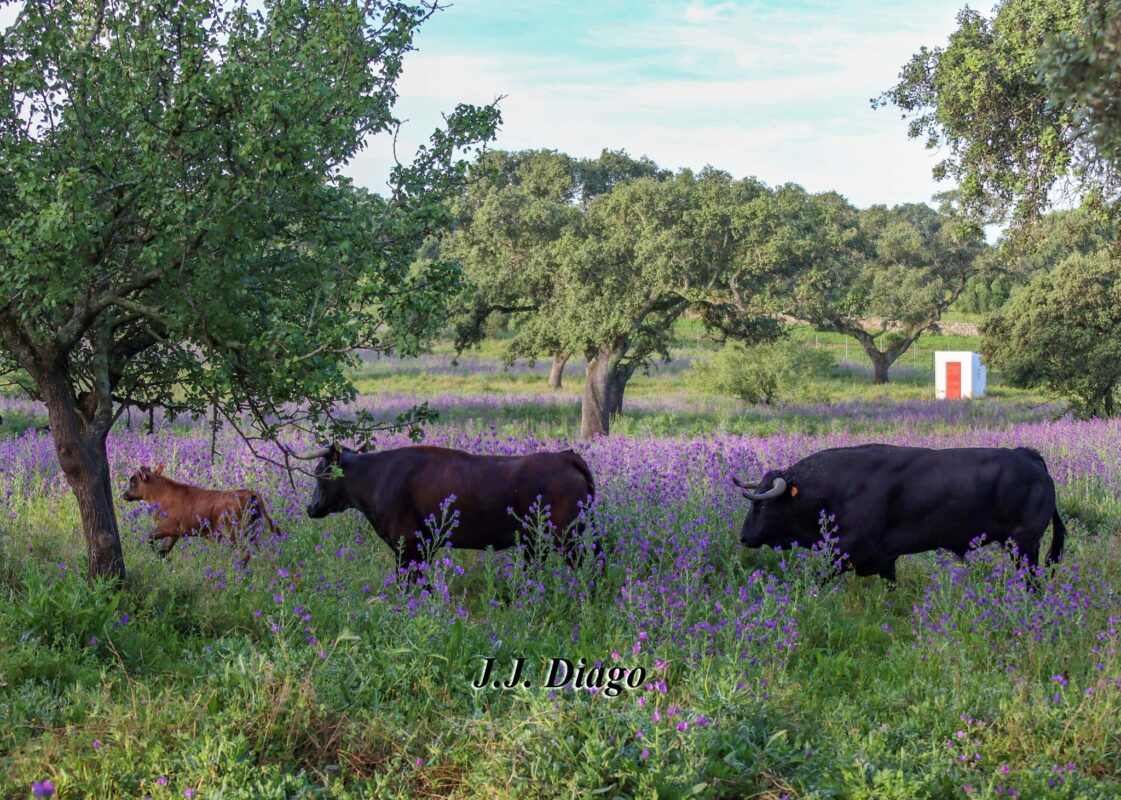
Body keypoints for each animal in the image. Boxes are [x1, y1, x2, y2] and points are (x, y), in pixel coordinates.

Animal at [121, 463, 280, 557]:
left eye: (133, 481)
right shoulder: (175, 533)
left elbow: (149, 538)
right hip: (252, 532)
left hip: (232, 533)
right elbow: (163, 551)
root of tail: (248, 493)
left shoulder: (166, 527)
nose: (124, 494)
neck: (160, 494)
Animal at [293, 441, 600, 566]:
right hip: (538, 543)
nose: (310, 508)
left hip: (566, 538)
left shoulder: (407, 545)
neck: (378, 475)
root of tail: (565, 456)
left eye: (320, 472)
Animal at [735, 441, 1067, 578]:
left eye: (761, 505)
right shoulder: (885, 561)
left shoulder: (844, 555)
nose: (743, 537)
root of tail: (1030, 457)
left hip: (1024, 546)